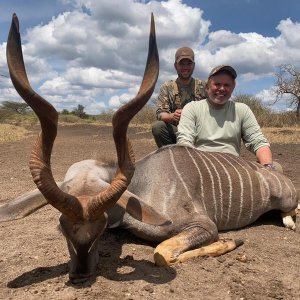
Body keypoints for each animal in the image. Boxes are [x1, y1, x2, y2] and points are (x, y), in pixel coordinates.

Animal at [0, 12, 298, 284]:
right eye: (61, 226)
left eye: (101, 224)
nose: (80, 274)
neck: (142, 185)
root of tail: (275, 173)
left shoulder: (204, 225)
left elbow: (161, 254)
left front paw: (232, 243)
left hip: (286, 199)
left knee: (289, 211)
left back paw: (289, 220)